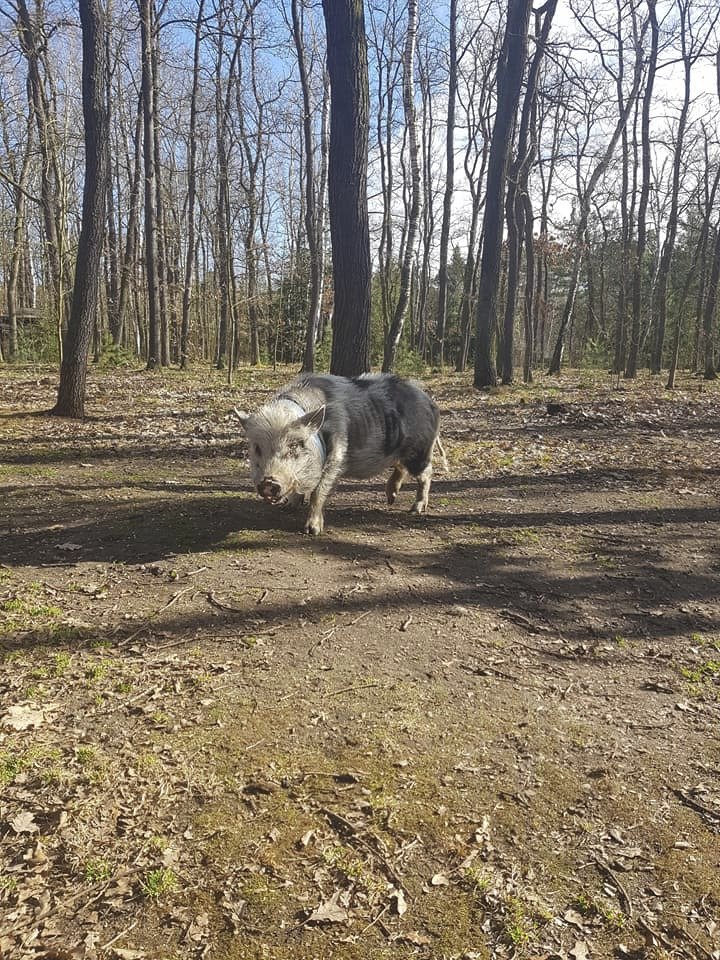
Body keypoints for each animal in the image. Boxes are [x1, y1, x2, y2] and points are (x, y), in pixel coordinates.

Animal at [233, 374, 444, 536]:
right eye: (257, 448)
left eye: (295, 445)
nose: (269, 482)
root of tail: (430, 402)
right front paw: (288, 507)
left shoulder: (337, 455)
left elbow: (319, 491)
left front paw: (312, 531)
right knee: (401, 467)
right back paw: (391, 499)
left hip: (420, 450)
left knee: (427, 473)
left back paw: (416, 509)